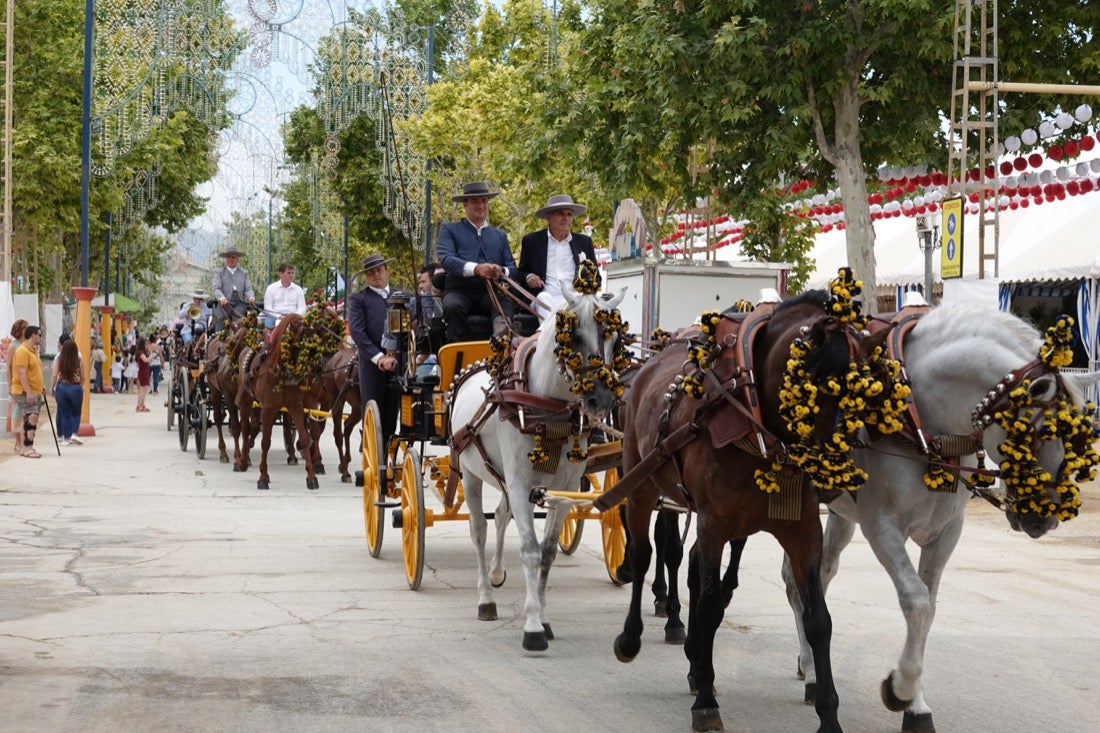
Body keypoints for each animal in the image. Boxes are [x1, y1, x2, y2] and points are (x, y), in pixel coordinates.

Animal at [448, 281, 629, 647]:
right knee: (479, 530)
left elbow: (546, 553)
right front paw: (532, 626)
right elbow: (529, 550)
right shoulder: (520, 485)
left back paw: (497, 573)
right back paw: (485, 598)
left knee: (501, 516)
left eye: (615, 339)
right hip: (471, 473)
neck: (549, 408)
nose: (601, 400)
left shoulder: (565, 488)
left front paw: (543, 618)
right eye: (573, 336)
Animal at [611, 290, 893, 730]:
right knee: (644, 556)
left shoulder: (802, 529)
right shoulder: (714, 523)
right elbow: (709, 605)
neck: (755, 416)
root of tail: (646, 367)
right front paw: (706, 702)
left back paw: (694, 660)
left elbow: (818, 619)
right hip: (640, 483)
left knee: (688, 565)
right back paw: (633, 635)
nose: (834, 478)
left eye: (864, 393)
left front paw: (828, 713)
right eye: (813, 388)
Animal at [787, 299, 1095, 726]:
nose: (1046, 516)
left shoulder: (946, 531)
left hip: (841, 515)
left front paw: (916, 704)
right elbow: (915, 599)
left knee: (820, 575)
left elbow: (929, 607)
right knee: (798, 582)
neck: (925, 419)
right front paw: (899, 689)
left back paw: (808, 666)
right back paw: (814, 672)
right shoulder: (881, 526)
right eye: (1046, 432)